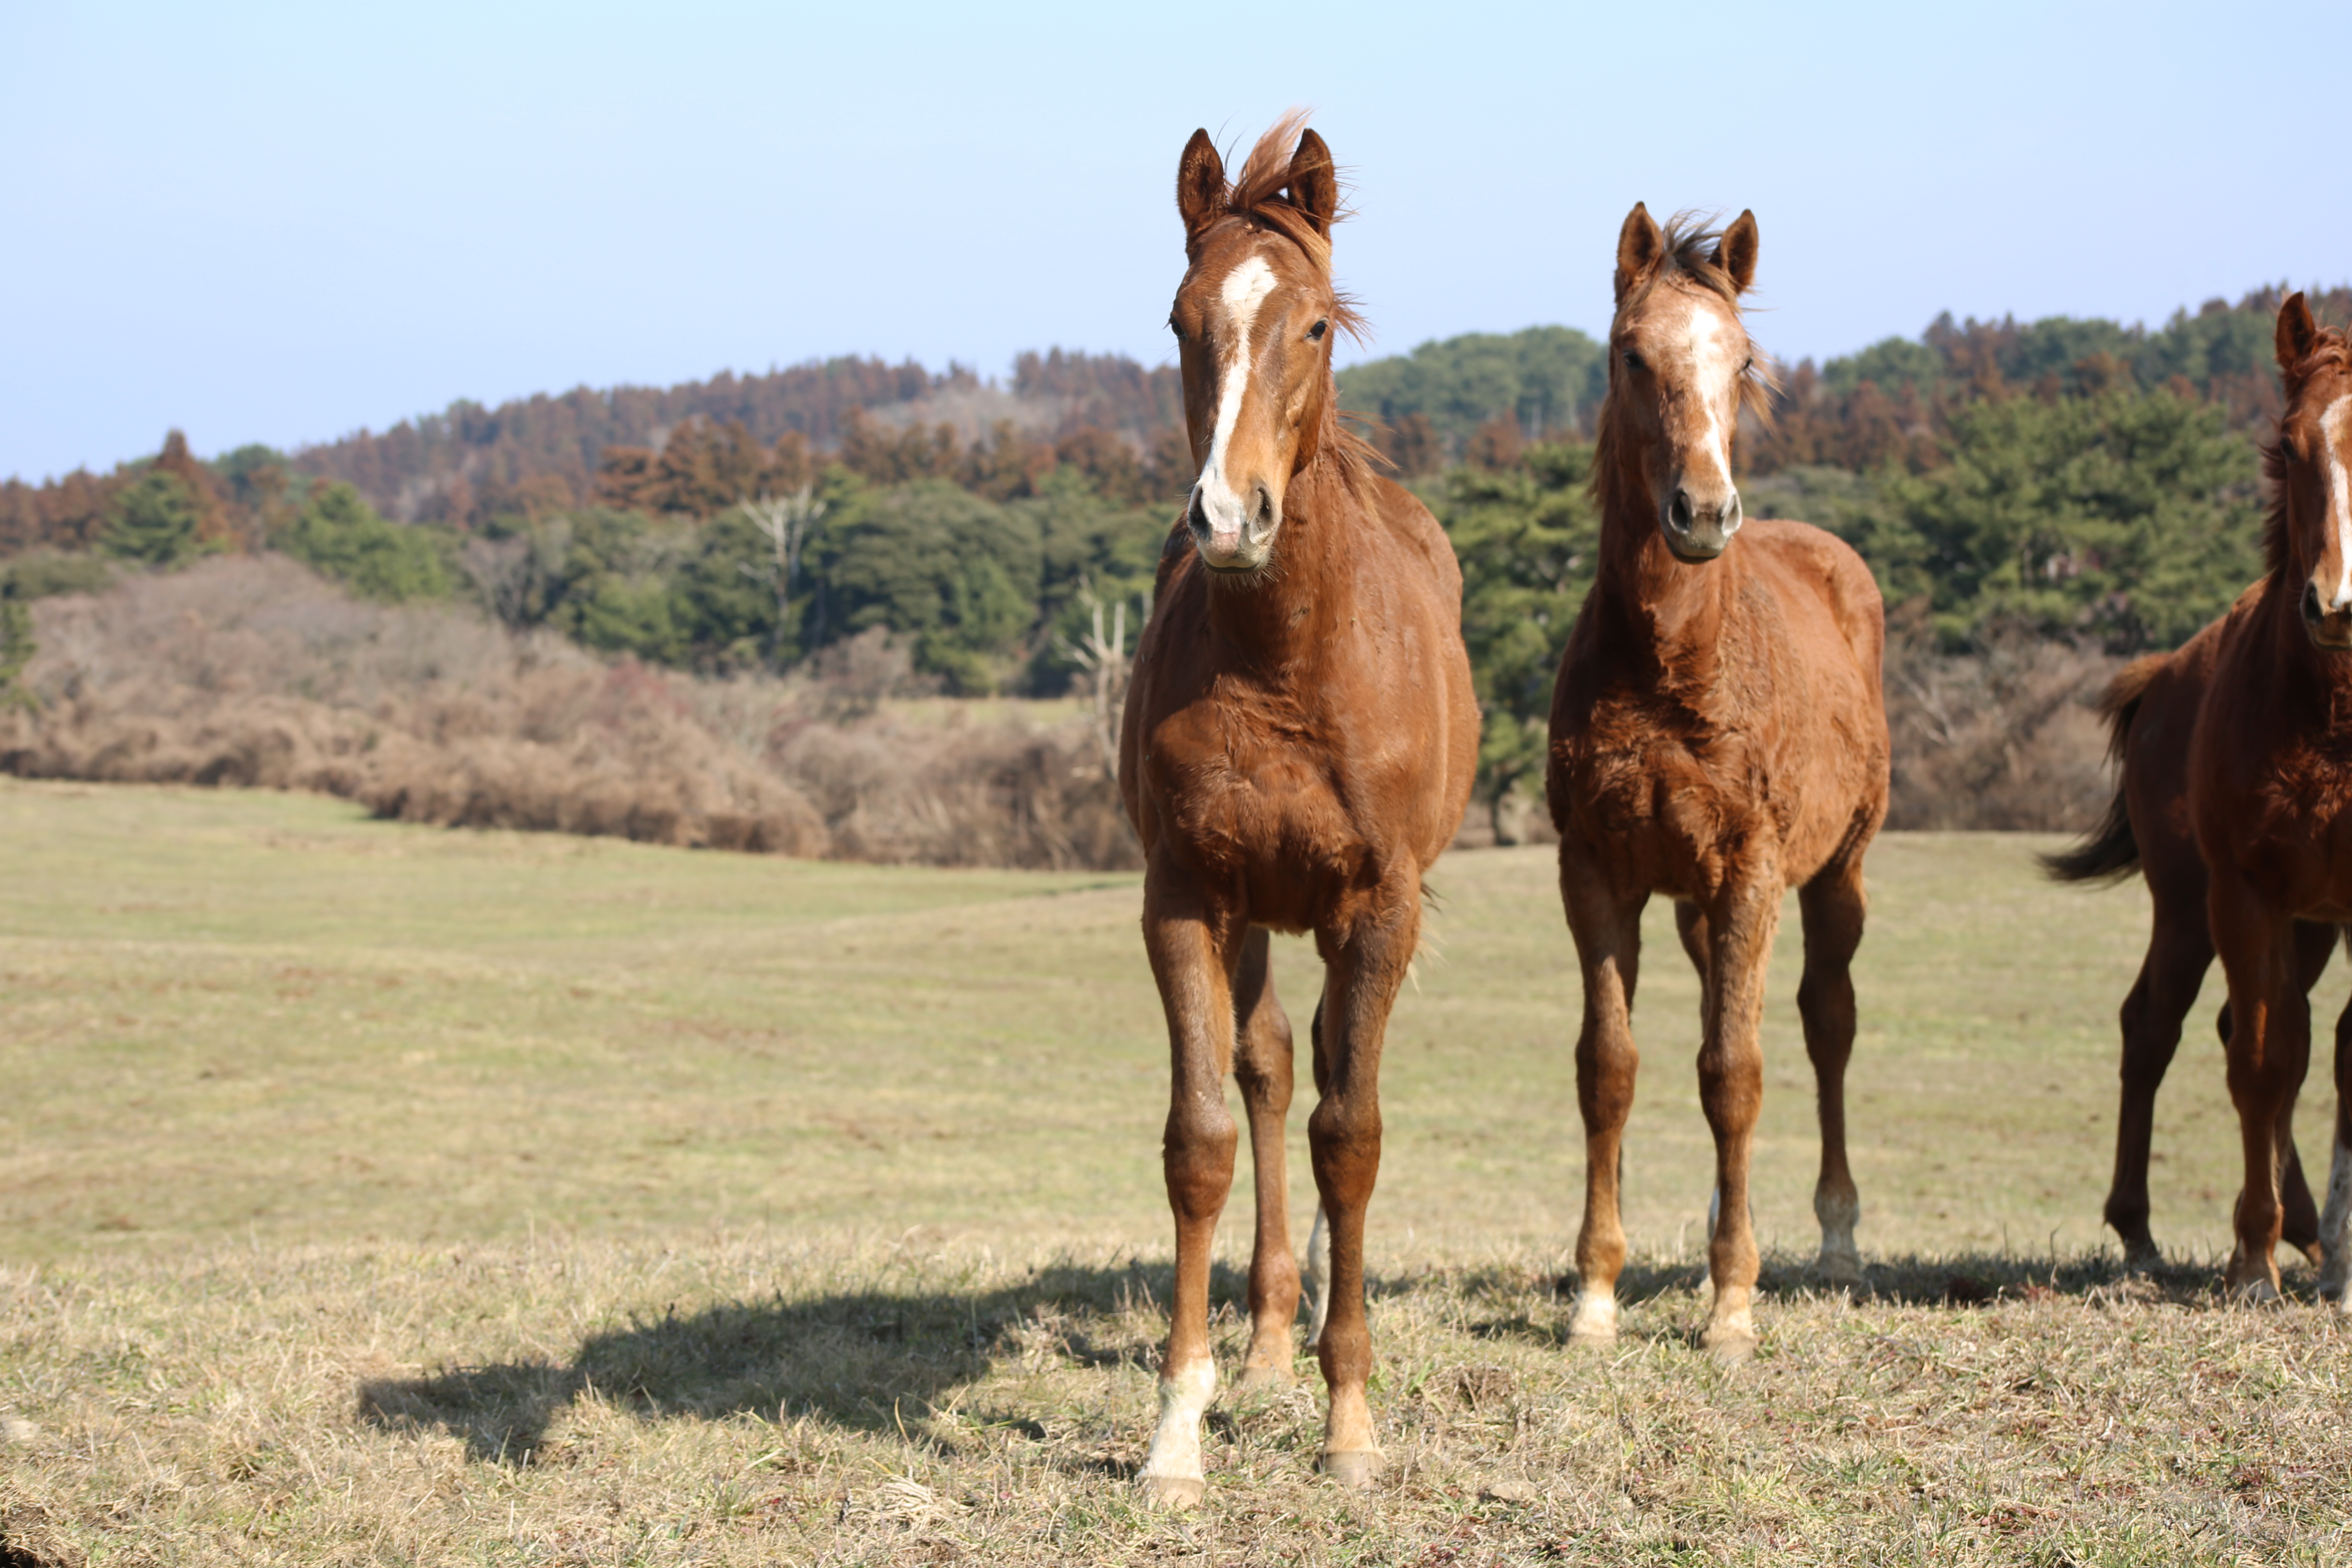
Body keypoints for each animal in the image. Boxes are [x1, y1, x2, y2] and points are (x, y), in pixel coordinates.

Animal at [1115, 116, 1468, 1504]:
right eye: (1178, 319)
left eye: (1314, 325)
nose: (1229, 516)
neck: (1284, 663)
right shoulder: (1184, 899)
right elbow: (1203, 1136)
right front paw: (1177, 1430)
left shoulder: (1378, 906)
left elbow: (1352, 1133)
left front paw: (1352, 1422)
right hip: (1258, 910)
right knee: (1269, 1071)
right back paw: (1268, 1337)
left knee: (1319, 1078)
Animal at [1543, 205, 1891, 1363]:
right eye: (1629, 354)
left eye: (1739, 361)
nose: (1701, 512)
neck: (1673, 667)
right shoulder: (1596, 872)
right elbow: (1609, 1068)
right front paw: (1594, 1296)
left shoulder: (1751, 871)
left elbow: (1735, 1072)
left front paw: (1733, 1304)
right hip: (1696, 901)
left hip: (1833, 875)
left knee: (1825, 1023)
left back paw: (1834, 1241)